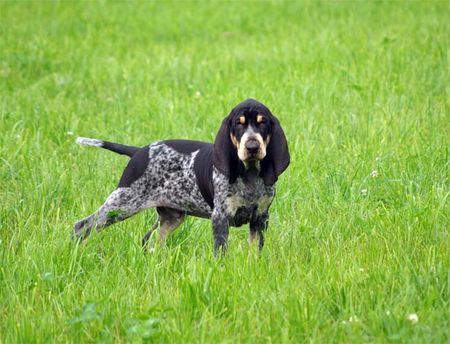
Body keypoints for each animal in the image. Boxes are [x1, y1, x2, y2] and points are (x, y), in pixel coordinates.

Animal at [74, 98, 290, 254]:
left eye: (263, 124)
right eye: (239, 124)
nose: (252, 147)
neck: (250, 175)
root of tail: (138, 151)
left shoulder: (260, 218)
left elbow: (255, 251)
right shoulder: (220, 217)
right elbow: (221, 251)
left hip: (171, 216)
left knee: (152, 240)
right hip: (122, 203)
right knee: (83, 226)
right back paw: (77, 253)